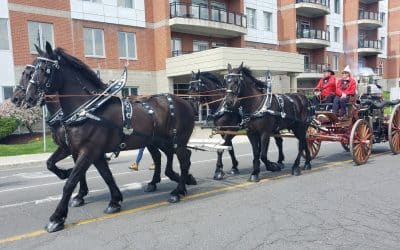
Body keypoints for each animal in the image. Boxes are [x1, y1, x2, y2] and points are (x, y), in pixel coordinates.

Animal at [23, 42, 195, 232]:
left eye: (44, 69)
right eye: (31, 70)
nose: (28, 97)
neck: (88, 110)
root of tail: (185, 101)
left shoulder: (88, 151)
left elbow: (70, 182)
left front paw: (57, 217)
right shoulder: (90, 152)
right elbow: (105, 175)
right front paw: (114, 200)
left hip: (177, 140)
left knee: (183, 159)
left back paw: (178, 191)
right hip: (158, 140)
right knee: (170, 156)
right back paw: (176, 180)